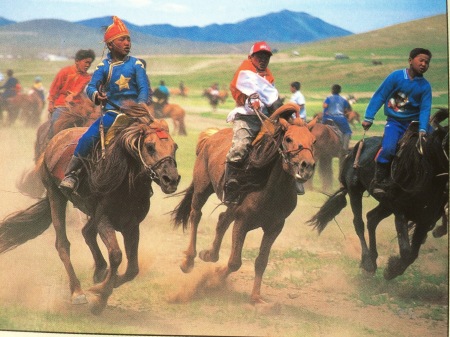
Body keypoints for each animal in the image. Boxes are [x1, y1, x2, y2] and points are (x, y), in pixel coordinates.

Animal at [0, 101, 179, 314]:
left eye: (175, 147)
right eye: (150, 147)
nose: (171, 179)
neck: (123, 179)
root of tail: (55, 141)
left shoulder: (131, 225)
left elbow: (132, 269)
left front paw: (107, 284)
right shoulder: (104, 219)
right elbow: (116, 256)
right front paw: (100, 295)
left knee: (86, 232)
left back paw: (99, 270)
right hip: (56, 196)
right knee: (63, 244)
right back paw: (77, 292)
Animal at [172, 103, 316, 304]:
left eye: (314, 141)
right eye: (288, 139)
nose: (306, 166)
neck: (271, 190)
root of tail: (211, 136)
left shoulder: (275, 227)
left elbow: (261, 261)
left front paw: (256, 298)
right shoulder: (243, 221)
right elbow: (234, 262)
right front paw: (217, 278)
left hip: (232, 204)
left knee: (222, 219)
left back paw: (209, 254)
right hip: (202, 189)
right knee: (196, 215)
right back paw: (189, 261)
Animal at [308, 109, 448, 280]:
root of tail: (356, 148)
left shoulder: (426, 219)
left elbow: (413, 253)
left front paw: (393, 269)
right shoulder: (401, 212)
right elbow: (406, 251)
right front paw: (391, 270)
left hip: (385, 204)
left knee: (372, 218)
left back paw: (373, 258)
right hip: (355, 192)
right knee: (359, 223)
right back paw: (367, 261)